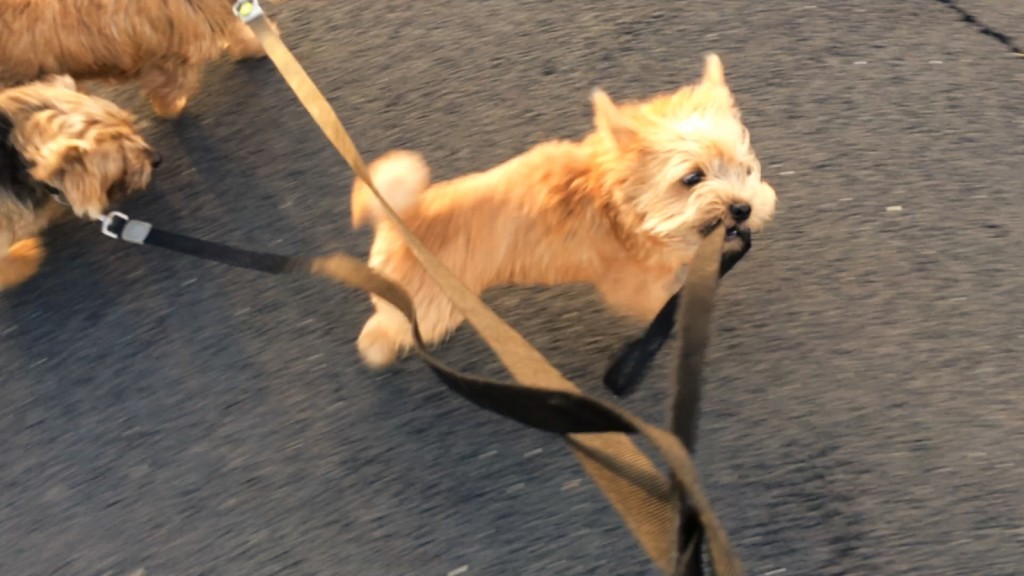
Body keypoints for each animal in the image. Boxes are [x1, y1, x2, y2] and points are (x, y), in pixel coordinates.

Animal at [352, 54, 774, 366]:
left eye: (744, 168)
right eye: (691, 178)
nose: (742, 208)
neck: (615, 200)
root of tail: (399, 217)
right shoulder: (633, 288)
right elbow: (661, 301)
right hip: (425, 300)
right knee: (390, 324)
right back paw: (381, 347)